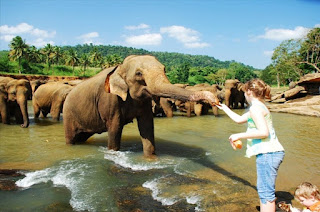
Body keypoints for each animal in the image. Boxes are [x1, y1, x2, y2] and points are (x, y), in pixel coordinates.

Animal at [62, 55, 218, 157]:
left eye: (164, 69)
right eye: (138, 73)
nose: (214, 99)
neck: (120, 67)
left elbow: (146, 126)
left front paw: (150, 158)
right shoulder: (110, 100)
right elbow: (115, 128)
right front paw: (113, 153)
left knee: (82, 136)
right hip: (69, 114)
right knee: (71, 138)